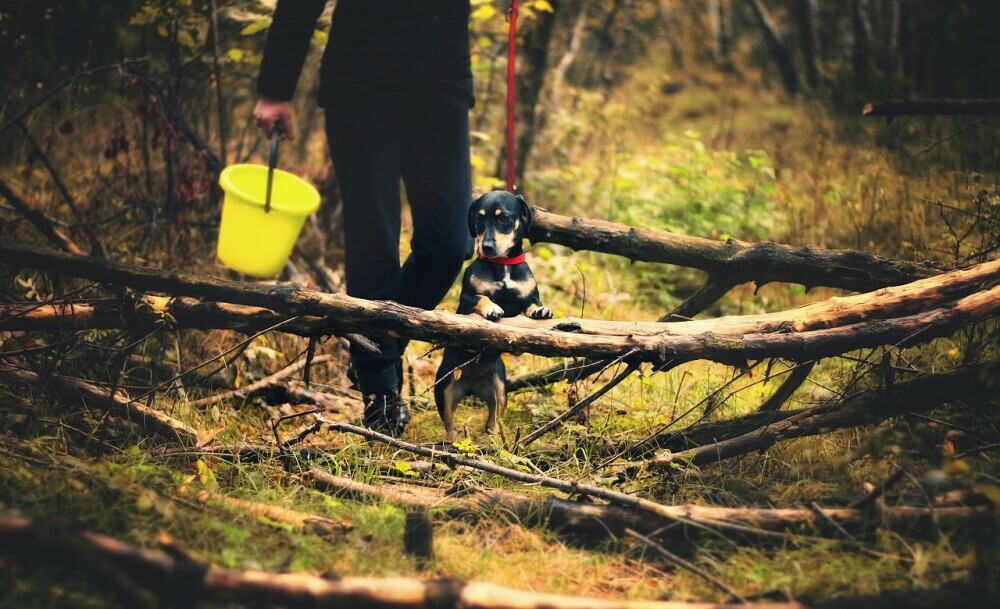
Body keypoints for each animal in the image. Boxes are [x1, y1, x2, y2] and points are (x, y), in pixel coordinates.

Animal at [432, 188, 552, 440]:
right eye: (479, 220)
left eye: (503, 218)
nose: (486, 247)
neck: (502, 264)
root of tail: (471, 387)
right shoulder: (466, 300)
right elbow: (482, 298)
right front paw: (492, 307)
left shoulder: (528, 297)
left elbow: (531, 306)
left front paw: (541, 311)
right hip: (444, 388)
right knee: (449, 422)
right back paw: (453, 441)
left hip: (499, 389)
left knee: (492, 420)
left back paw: (495, 436)